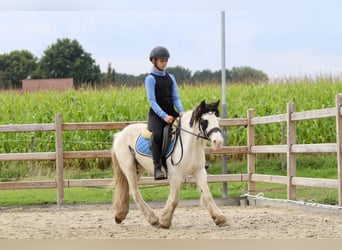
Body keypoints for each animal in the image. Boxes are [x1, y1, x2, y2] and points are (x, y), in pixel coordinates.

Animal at [111, 100, 227, 229]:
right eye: (203, 121)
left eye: (217, 119)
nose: (218, 142)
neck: (189, 145)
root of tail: (119, 134)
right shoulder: (176, 176)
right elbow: (175, 199)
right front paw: (165, 221)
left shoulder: (199, 172)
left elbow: (207, 194)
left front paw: (219, 218)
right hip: (129, 168)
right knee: (135, 192)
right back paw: (153, 219)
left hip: (139, 168)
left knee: (129, 191)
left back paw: (121, 215)